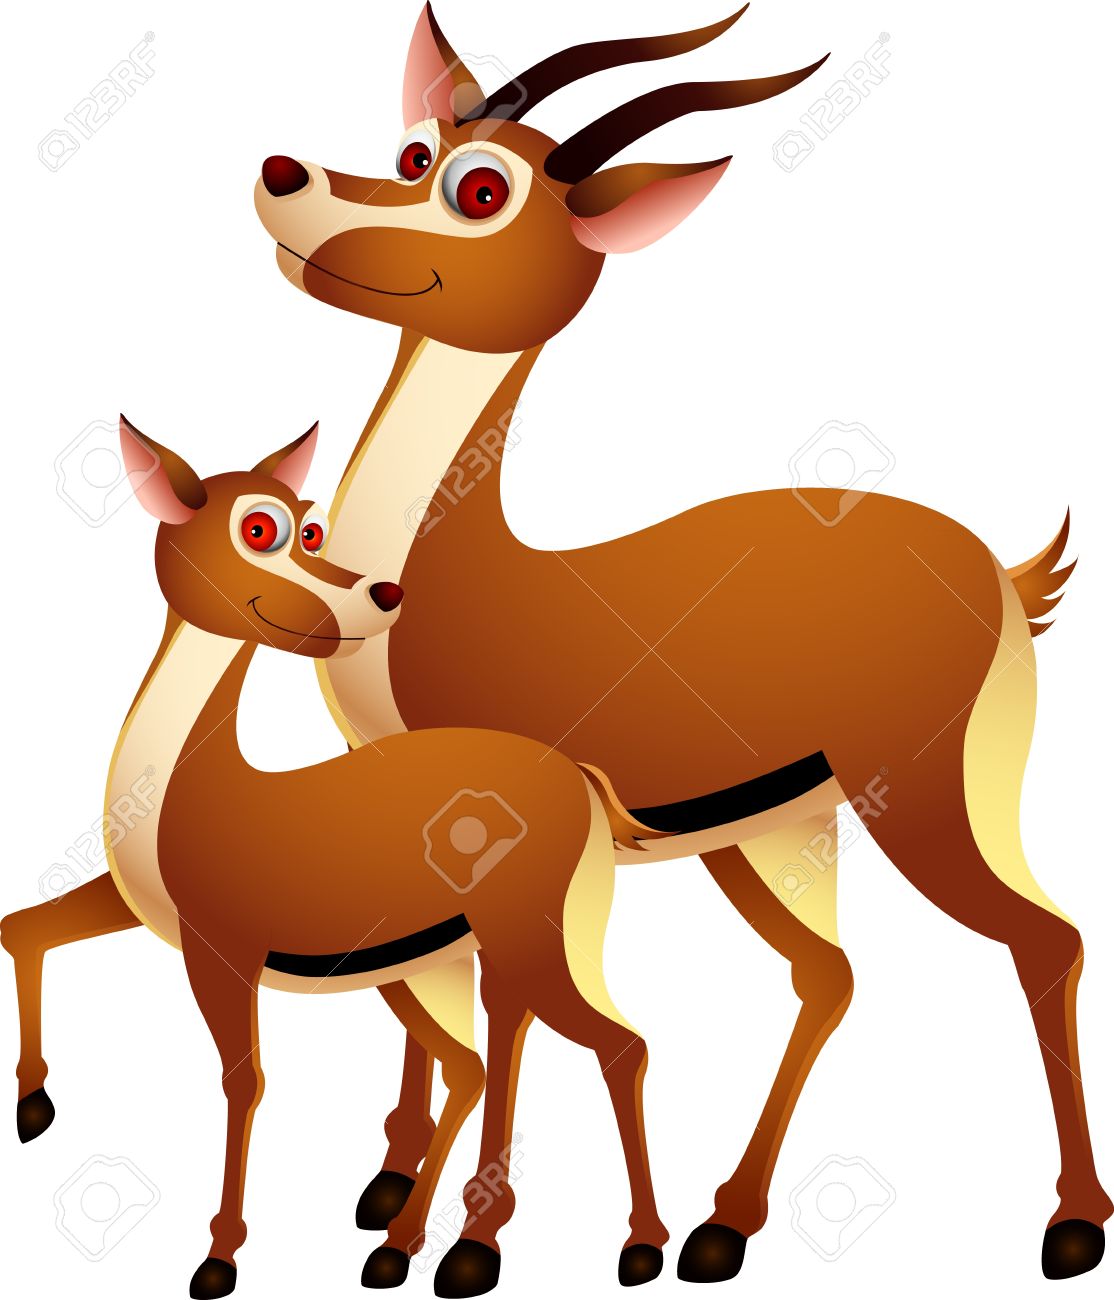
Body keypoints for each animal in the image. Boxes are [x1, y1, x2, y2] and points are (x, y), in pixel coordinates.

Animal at [16, 415, 675, 1299]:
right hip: (437, 963)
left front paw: (218, 1260)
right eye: (261, 529)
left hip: (521, 945)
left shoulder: (220, 948)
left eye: (311, 527)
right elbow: (24, 927)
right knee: (476, 1062)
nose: (383, 594)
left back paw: (638, 1249)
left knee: (616, 1044)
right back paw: (404, 1246)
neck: (190, 792)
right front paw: (32, 1106)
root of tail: (576, 776)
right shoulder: (141, 909)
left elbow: (243, 1081)